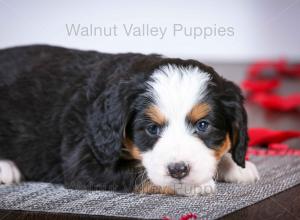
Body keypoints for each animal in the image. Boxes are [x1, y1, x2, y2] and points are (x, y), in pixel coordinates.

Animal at [0, 45, 258, 196]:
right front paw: (194, 184)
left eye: (203, 125)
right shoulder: (84, 161)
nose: (178, 170)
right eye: (152, 129)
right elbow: (140, 171)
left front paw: (235, 166)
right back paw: (6, 168)